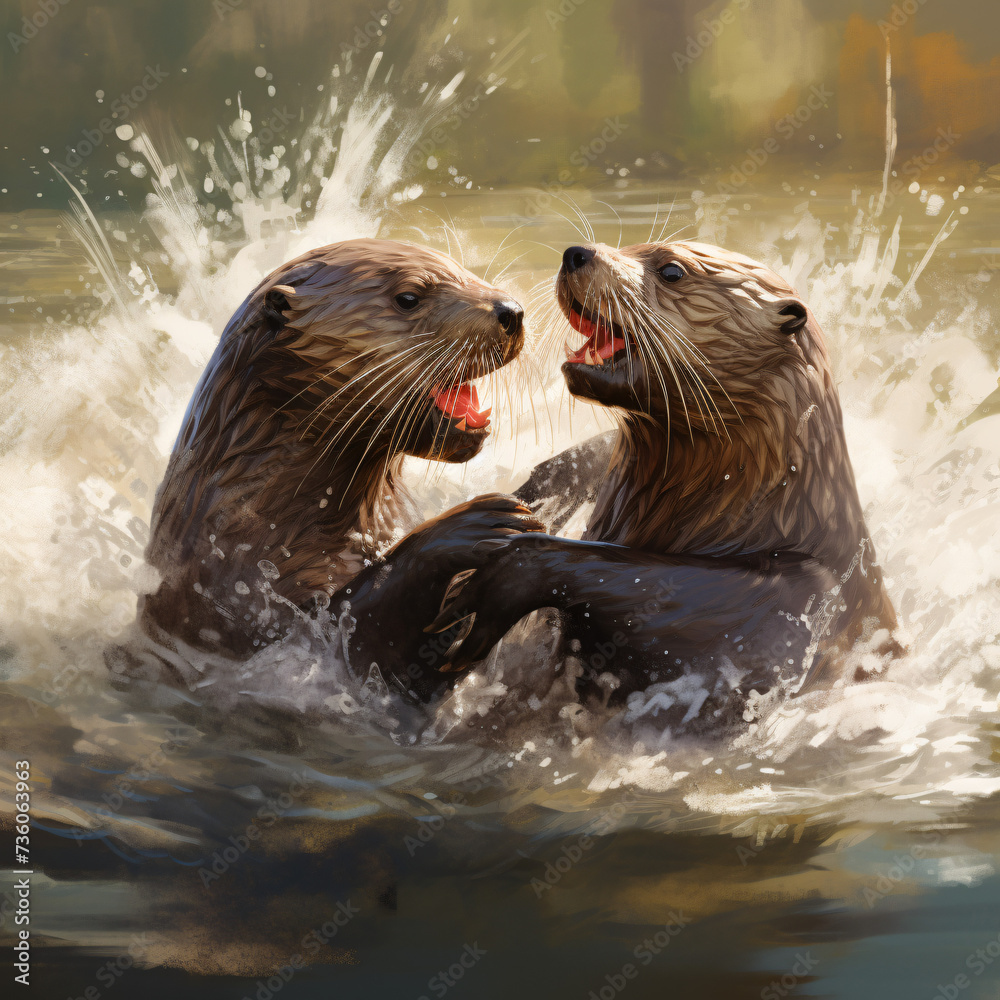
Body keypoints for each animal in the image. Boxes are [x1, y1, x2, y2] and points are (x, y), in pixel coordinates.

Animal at [112, 239, 543, 702]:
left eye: (464, 270)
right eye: (409, 297)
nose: (510, 311)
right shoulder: (230, 601)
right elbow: (353, 638)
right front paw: (476, 524)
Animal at [429, 240, 900, 721]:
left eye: (672, 271)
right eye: (630, 245)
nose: (577, 252)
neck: (767, 511)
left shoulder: (787, 606)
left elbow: (653, 596)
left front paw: (500, 577)